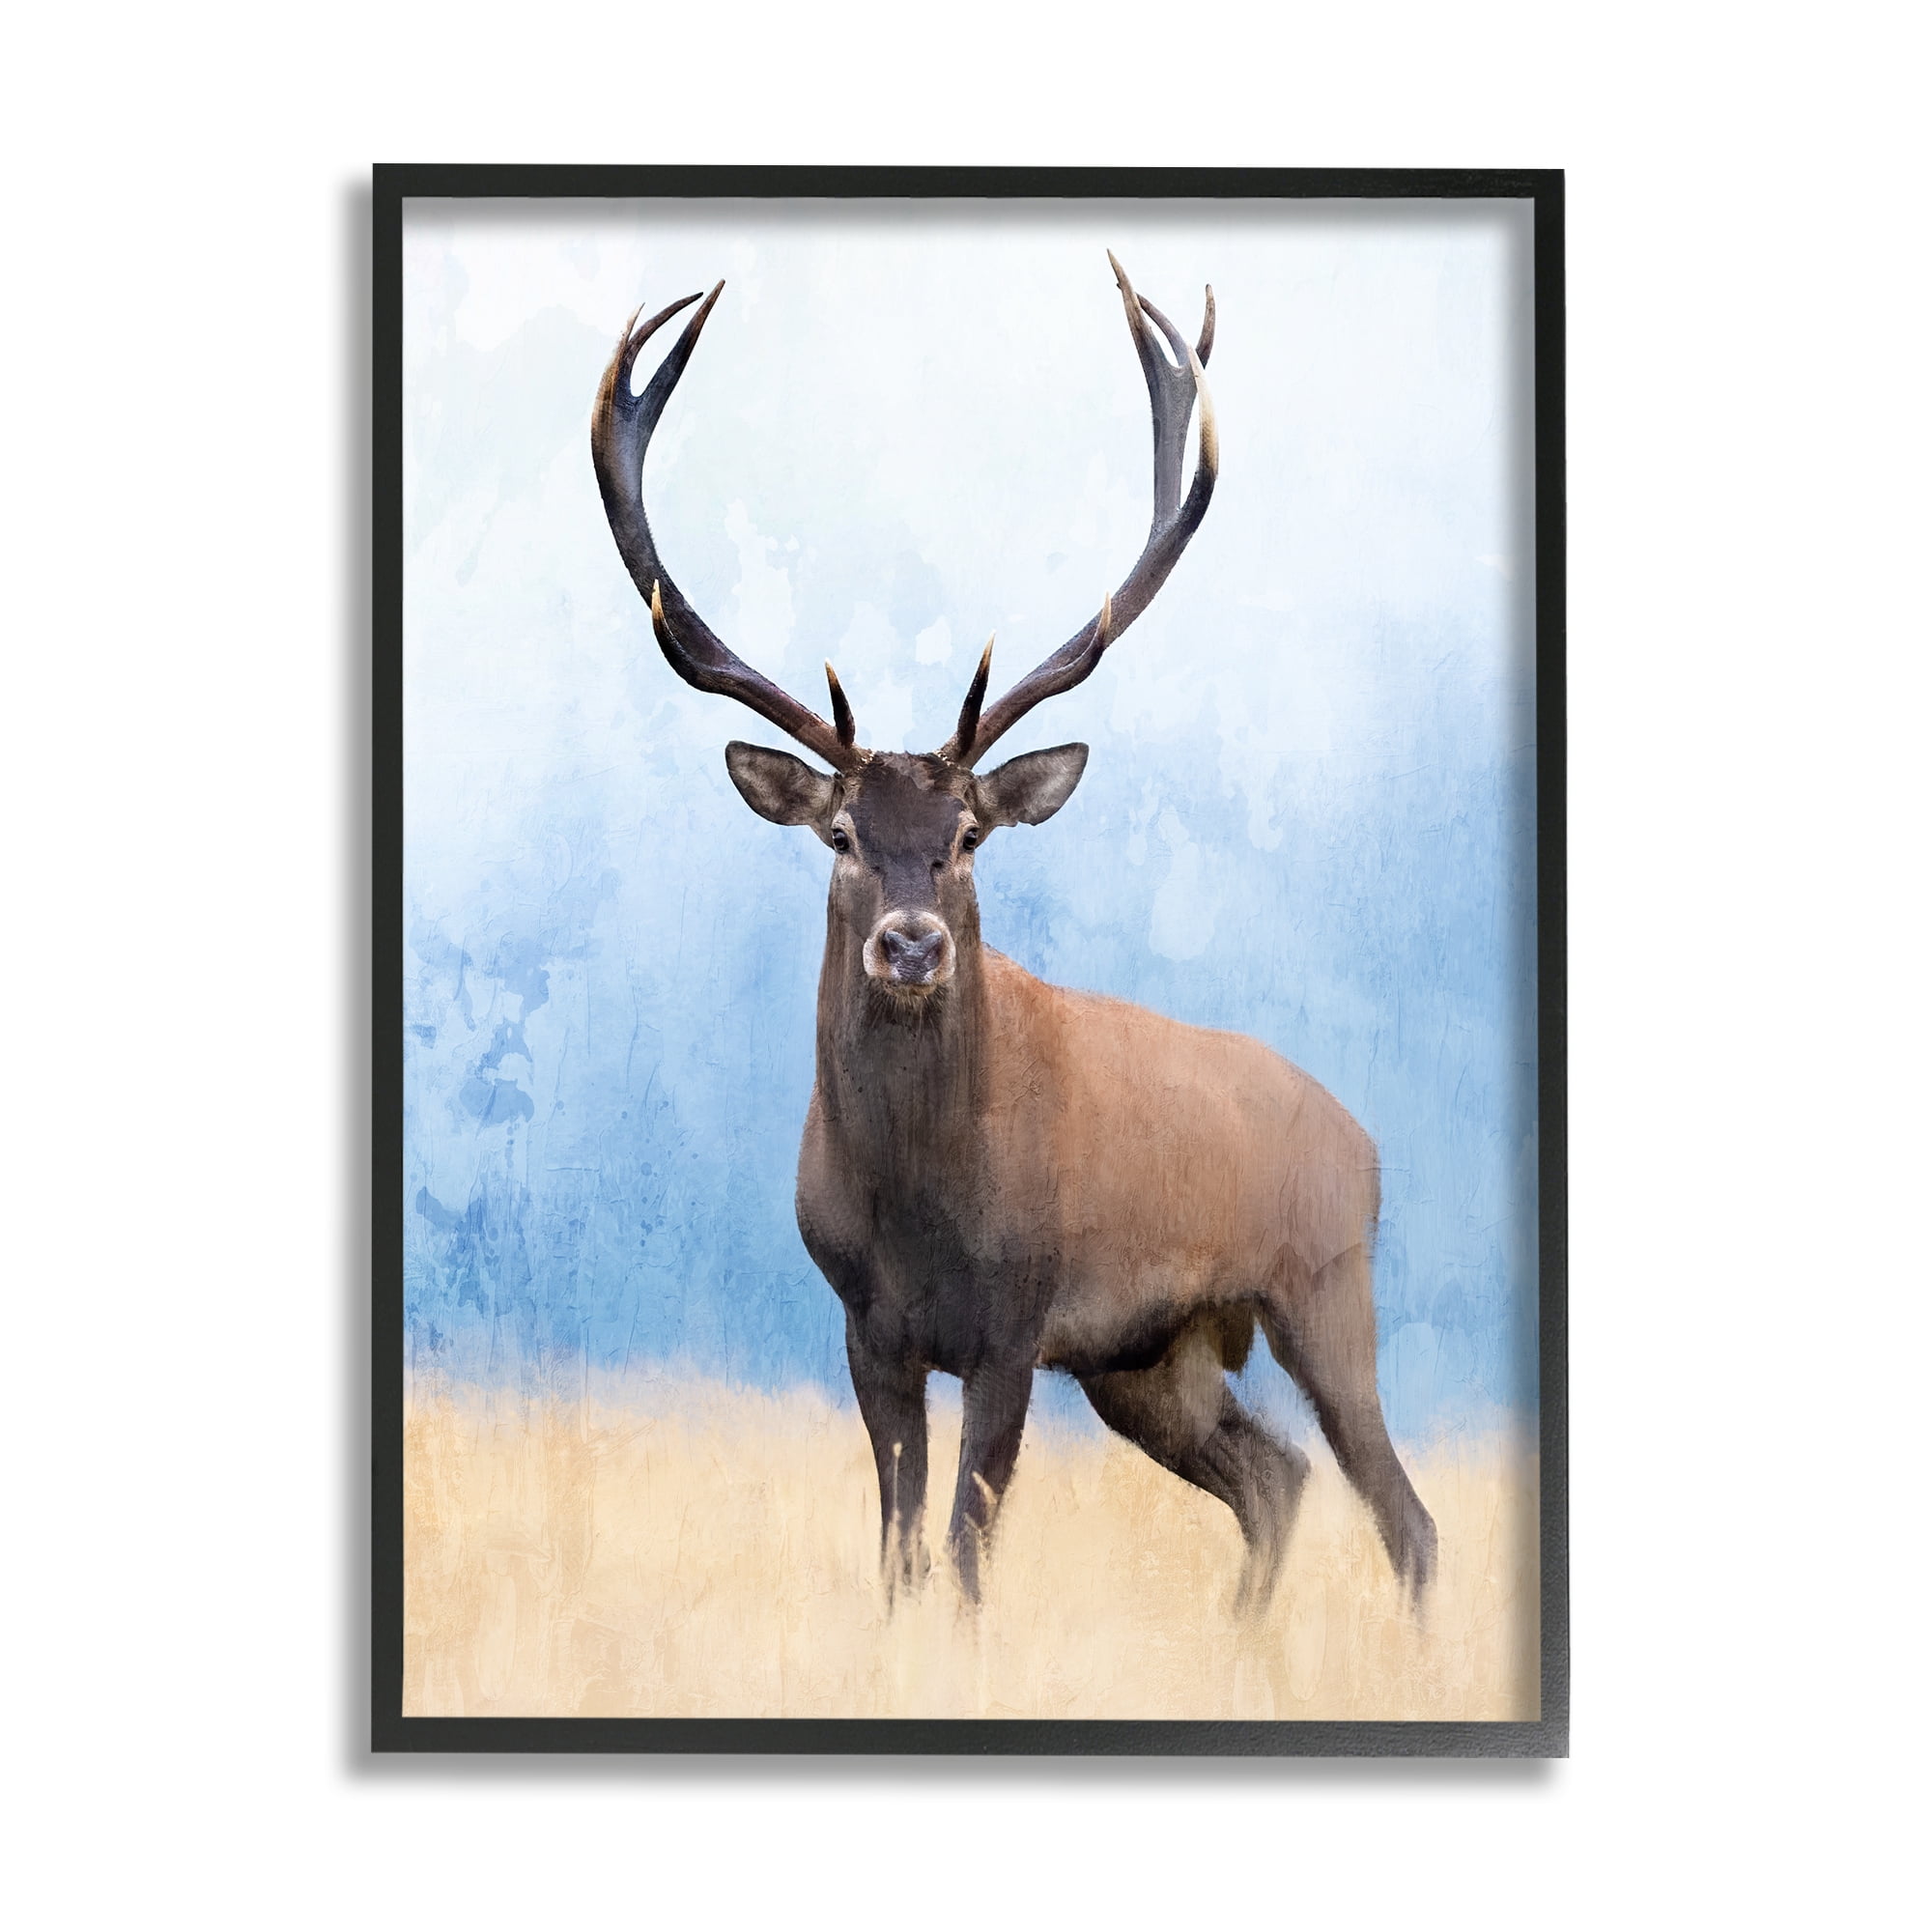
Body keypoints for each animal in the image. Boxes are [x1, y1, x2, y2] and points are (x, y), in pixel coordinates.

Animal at [590, 255, 1437, 1615]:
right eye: (838, 833)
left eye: (968, 834)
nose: (910, 944)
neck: (918, 1208)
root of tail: (1365, 1146)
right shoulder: (865, 1327)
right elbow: (899, 1548)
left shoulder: (1015, 1318)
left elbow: (965, 1550)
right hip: (1148, 1359)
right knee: (1275, 1475)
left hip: (1321, 1288)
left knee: (1399, 1510)